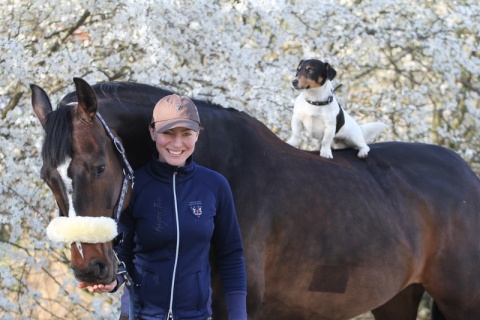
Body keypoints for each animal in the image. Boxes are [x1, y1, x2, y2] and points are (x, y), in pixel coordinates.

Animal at [31, 78, 480, 320]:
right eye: (47, 177)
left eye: (98, 167)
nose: (90, 267)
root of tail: (466, 177)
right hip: (398, 298)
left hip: (463, 301)